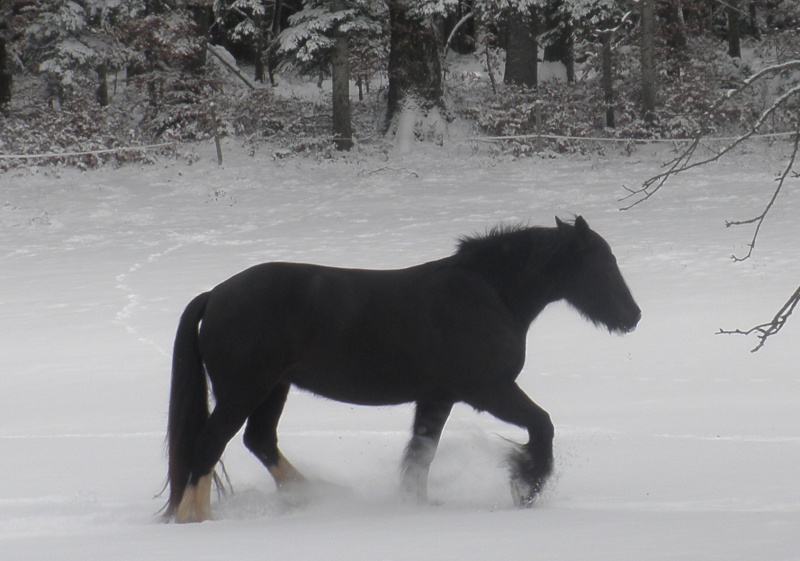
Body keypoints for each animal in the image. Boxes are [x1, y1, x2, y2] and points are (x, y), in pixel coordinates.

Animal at [162, 217, 636, 524]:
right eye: (602, 263)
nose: (632, 316)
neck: (488, 294)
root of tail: (215, 295)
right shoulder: (488, 390)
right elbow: (542, 425)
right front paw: (526, 485)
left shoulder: (438, 397)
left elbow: (421, 453)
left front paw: (416, 504)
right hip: (244, 390)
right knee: (208, 446)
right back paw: (195, 519)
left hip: (272, 388)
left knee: (259, 441)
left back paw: (314, 497)